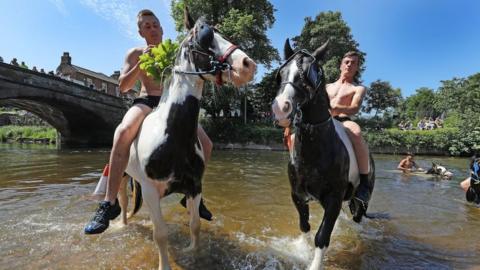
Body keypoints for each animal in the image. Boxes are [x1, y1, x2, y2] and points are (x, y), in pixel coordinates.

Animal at [125, 7, 256, 268]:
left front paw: (195, 254)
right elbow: (160, 234)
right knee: (122, 204)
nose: (248, 64)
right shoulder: (150, 190)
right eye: (205, 36)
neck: (172, 137)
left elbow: (195, 225)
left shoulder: (194, 186)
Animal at [272, 39, 374, 268]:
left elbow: (322, 236)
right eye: (281, 73)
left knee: (358, 219)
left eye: (310, 74)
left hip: (360, 200)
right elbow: (305, 226)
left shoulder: (334, 199)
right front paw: (302, 252)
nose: (281, 108)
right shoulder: (298, 195)